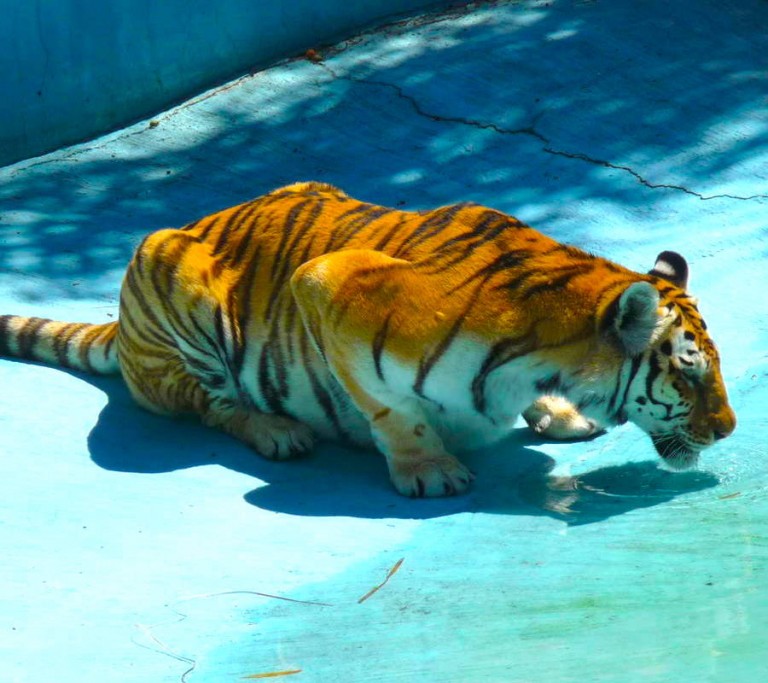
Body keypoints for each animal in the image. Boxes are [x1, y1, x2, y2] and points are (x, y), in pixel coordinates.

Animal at [0, 183, 736, 496]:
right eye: (688, 371)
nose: (729, 430)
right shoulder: (327, 287)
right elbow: (393, 410)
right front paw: (429, 468)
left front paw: (555, 412)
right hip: (173, 272)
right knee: (210, 403)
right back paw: (277, 430)